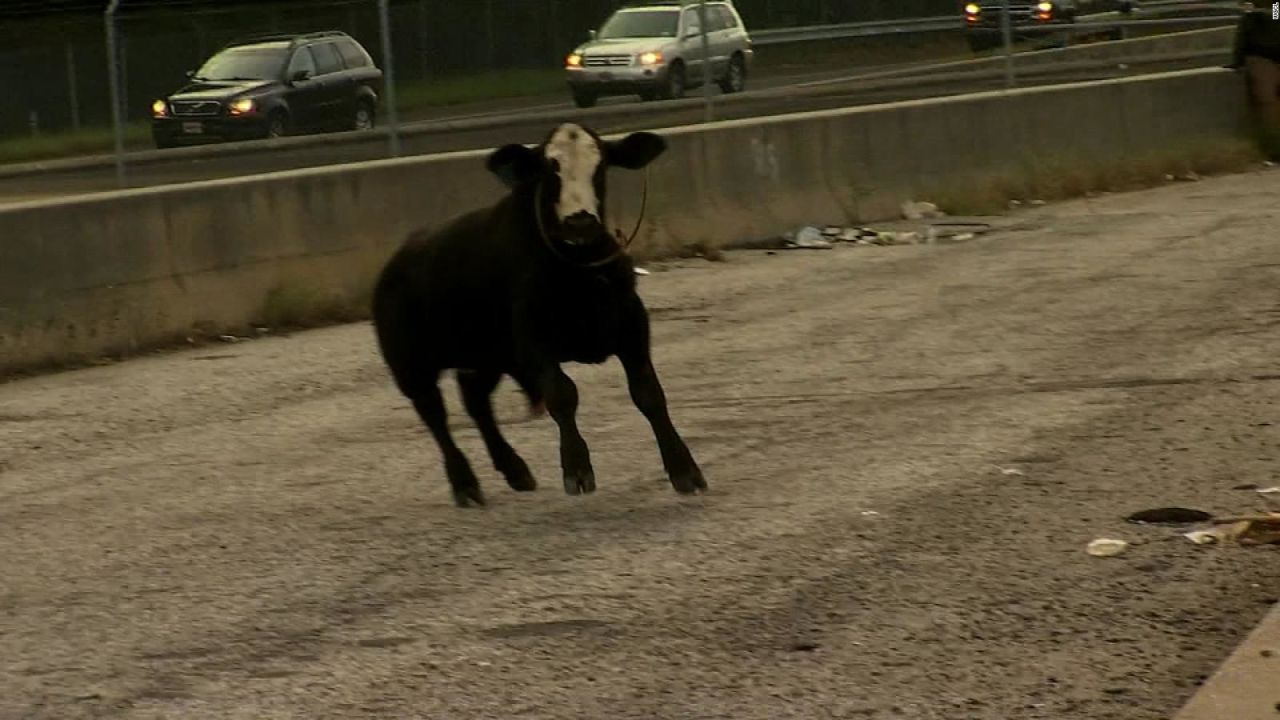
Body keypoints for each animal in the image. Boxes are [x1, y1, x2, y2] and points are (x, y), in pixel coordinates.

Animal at [371, 120, 711, 507]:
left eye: (600, 166)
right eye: (551, 169)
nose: (580, 221)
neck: (578, 272)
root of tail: (395, 262)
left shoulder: (632, 329)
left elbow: (649, 394)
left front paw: (685, 470)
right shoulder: (533, 342)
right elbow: (562, 394)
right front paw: (577, 469)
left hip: (486, 356)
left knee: (476, 401)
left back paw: (515, 470)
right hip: (412, 367)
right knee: (436, 417)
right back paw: (464, 483)